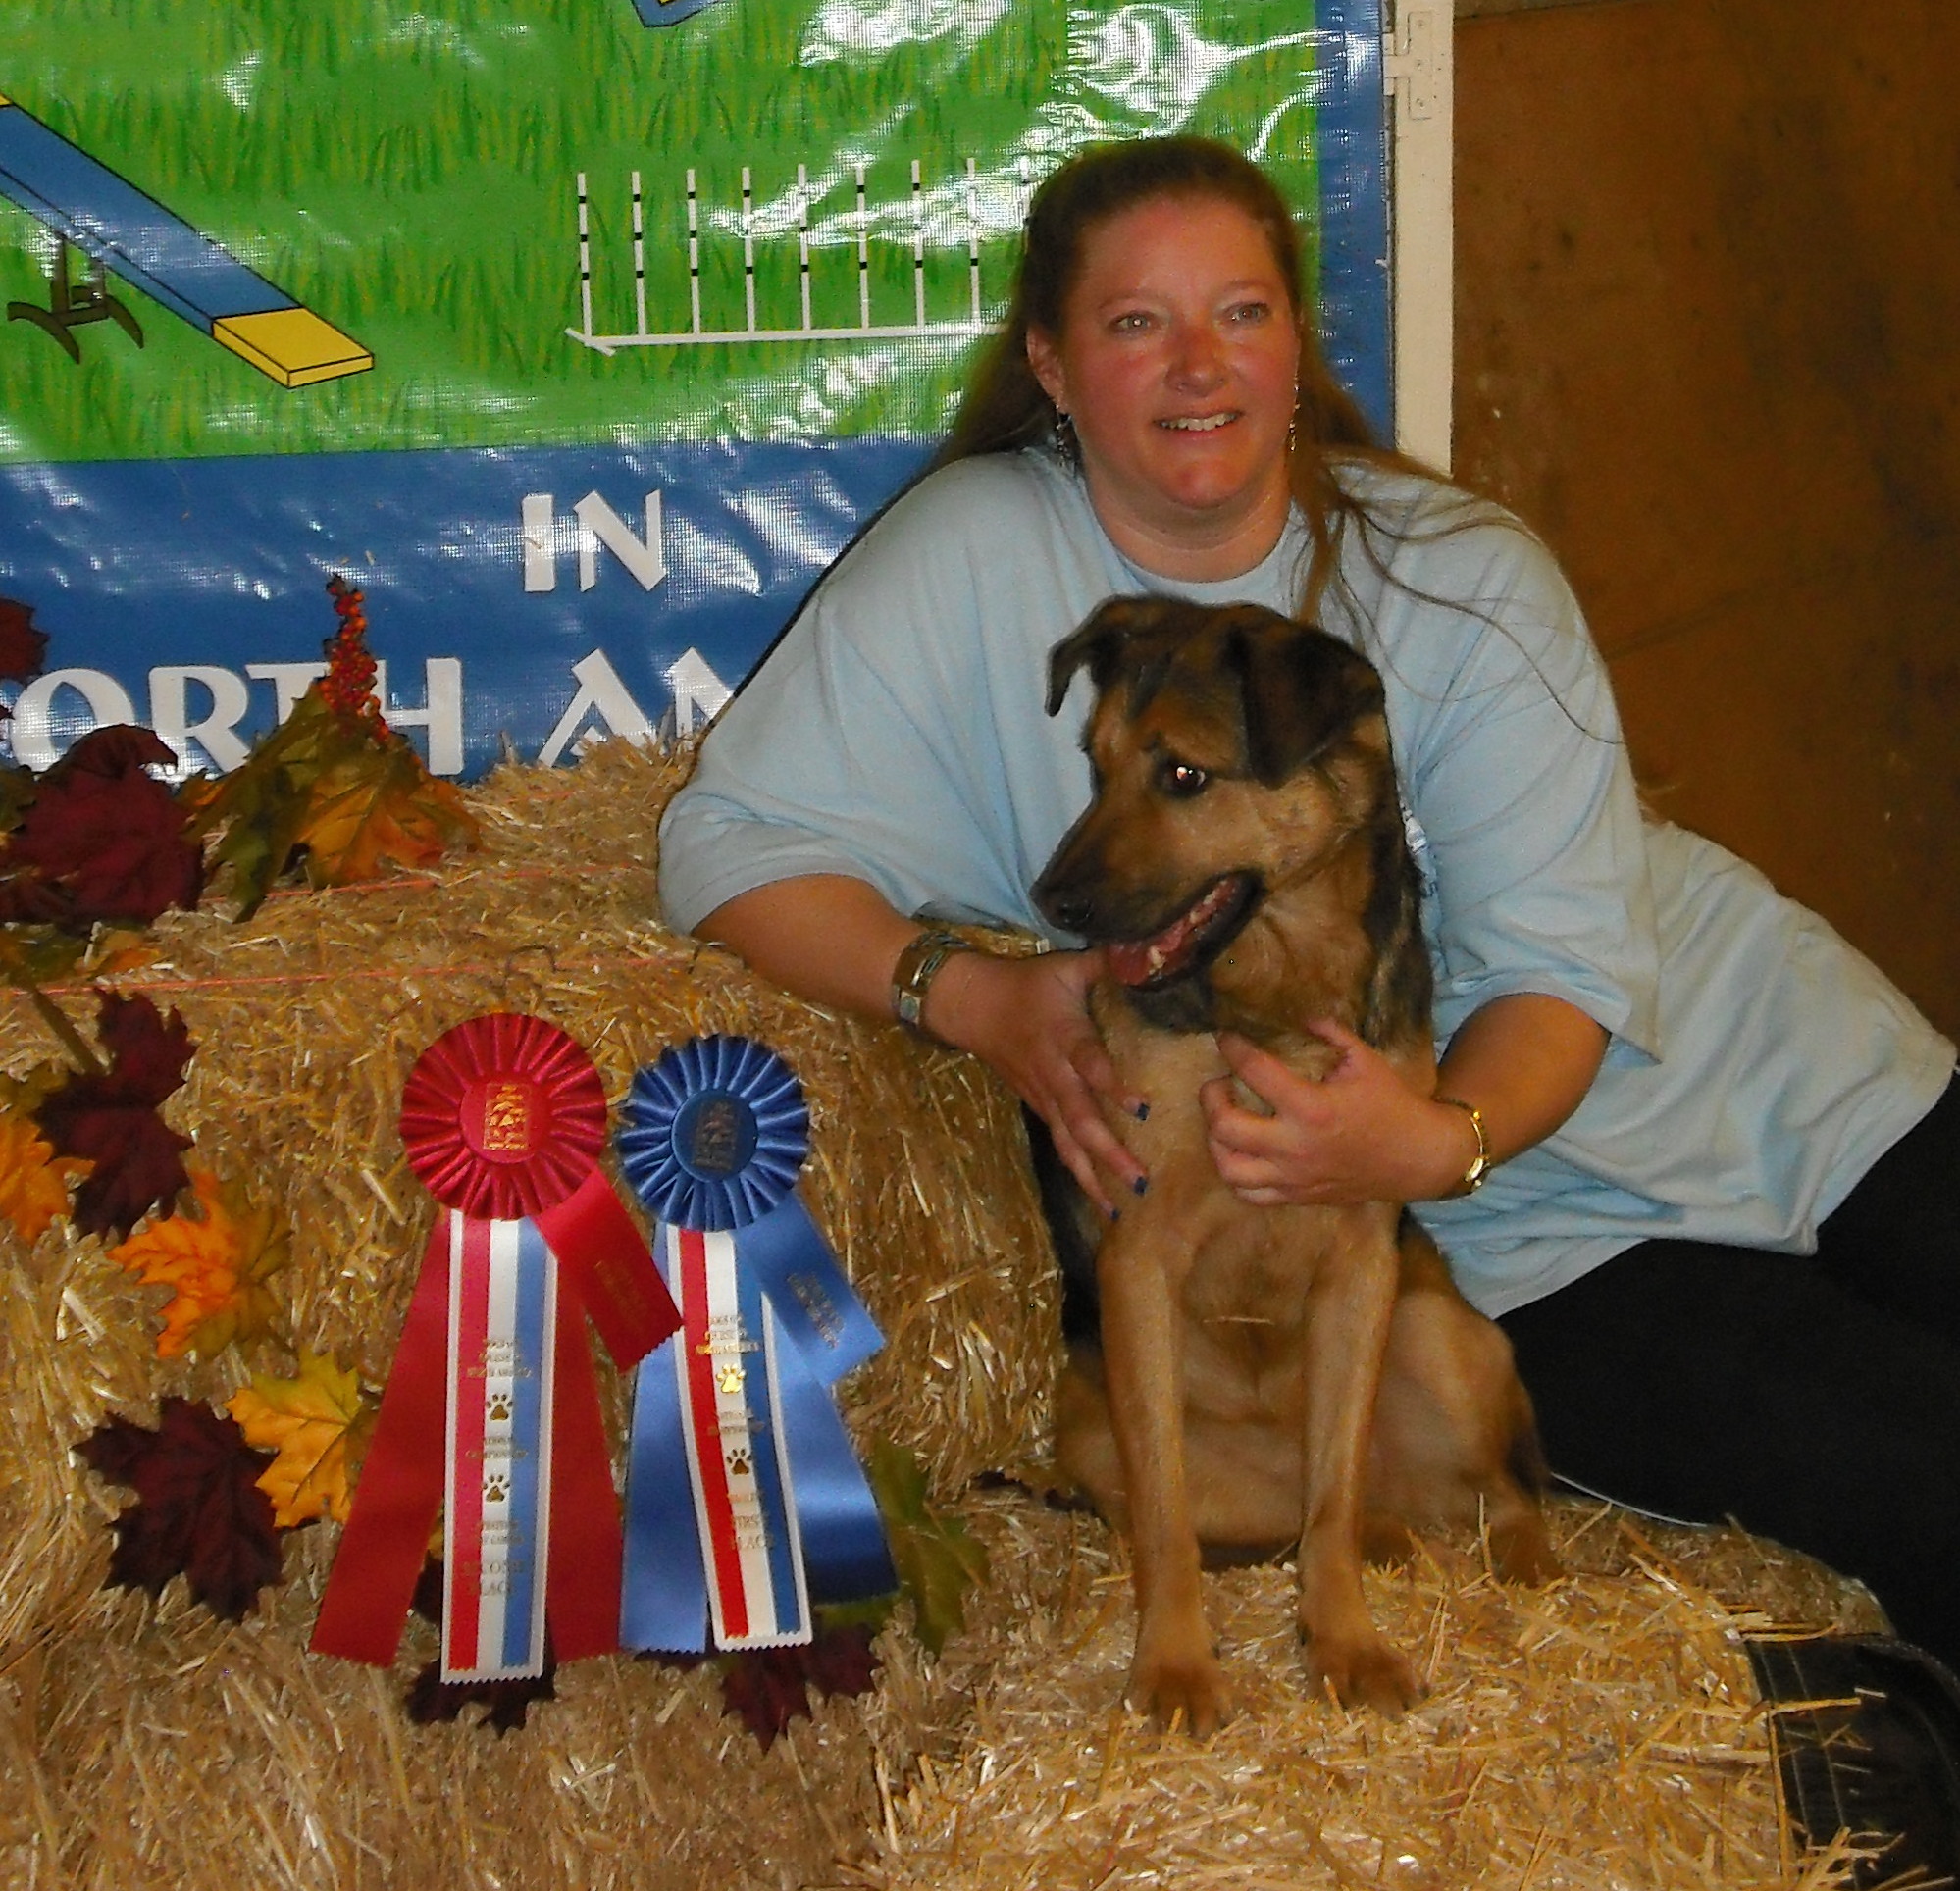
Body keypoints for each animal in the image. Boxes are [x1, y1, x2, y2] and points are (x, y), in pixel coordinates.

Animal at [1034, 599, 1552, 1732]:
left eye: (1183, 773)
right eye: (1093, 765)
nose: (1051, 902)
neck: (1276, 984)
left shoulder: (1362, 1261)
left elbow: (1334, 1492)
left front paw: (1347, 1640)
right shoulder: (1142, 1256)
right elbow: (1168, 1518)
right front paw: (1176, 1665)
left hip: (1438, 1334)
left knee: (1492, 1491)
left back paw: (1528, 1563)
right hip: (1089, 1426)